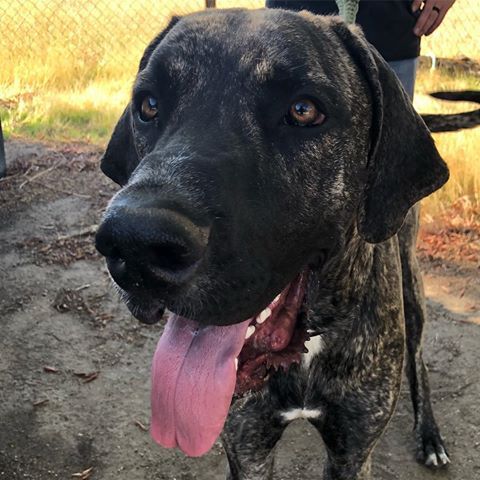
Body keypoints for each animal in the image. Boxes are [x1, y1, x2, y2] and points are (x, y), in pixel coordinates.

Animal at [94, 7, 476, 480]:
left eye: (303, 110)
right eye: (148, 105)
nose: (135, 244)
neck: (309, 345)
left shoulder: (352, 452)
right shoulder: (248, 446)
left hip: (412, 287)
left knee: (419, 357)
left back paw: (430, 436)